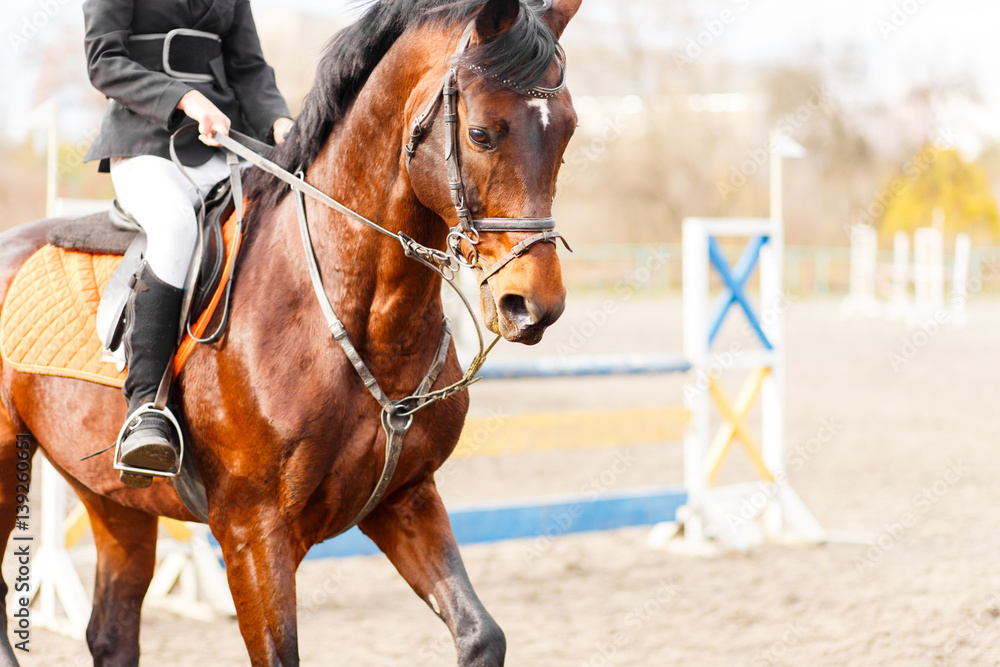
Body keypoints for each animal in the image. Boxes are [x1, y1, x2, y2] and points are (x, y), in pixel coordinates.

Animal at [0, 0, 580, 664]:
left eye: (567, 133)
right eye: (482, 133)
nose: (534, 306)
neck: (361, 320)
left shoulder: (405, 497)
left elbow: (481, 634)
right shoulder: (254, 533)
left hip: (113, 497)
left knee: (112, 630)